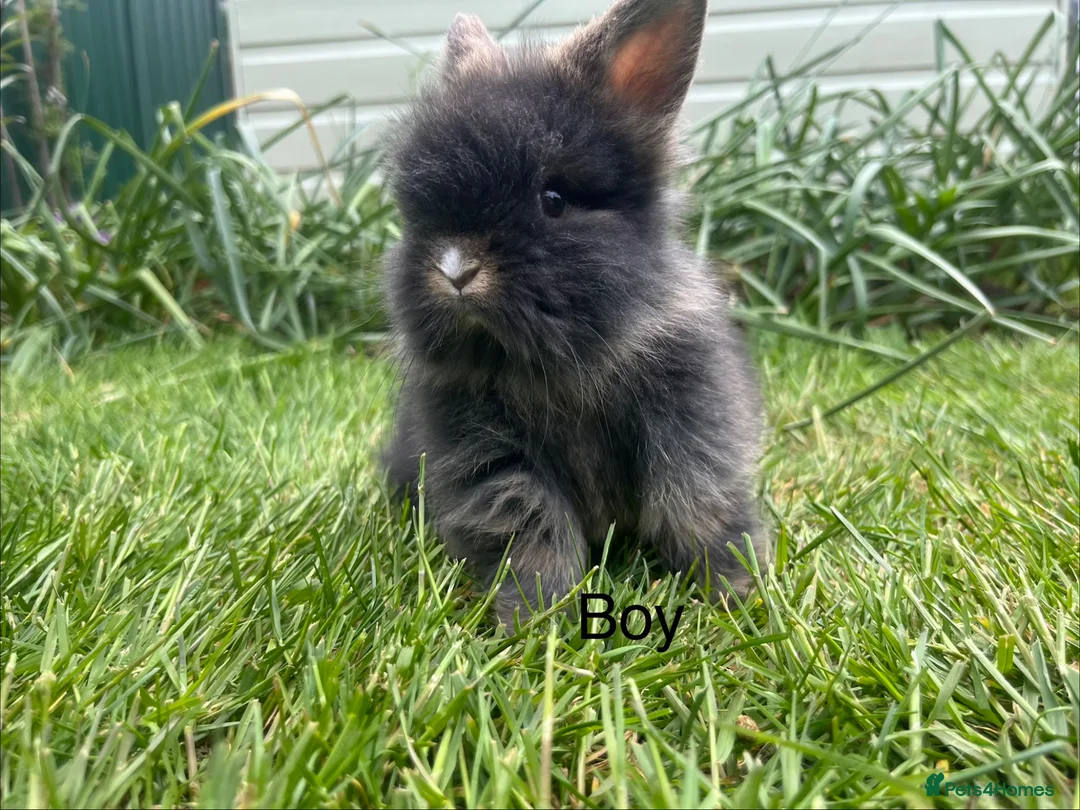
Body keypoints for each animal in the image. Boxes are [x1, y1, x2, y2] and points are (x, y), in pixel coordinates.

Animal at [381, 0, 767, 626]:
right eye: (413, 213)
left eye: (554, 200)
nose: (455, 270)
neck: (564, 365)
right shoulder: (492, 460)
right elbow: (530, 526)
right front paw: (537, 618)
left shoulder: (692, 424)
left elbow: (697, 504)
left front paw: (734, 590)